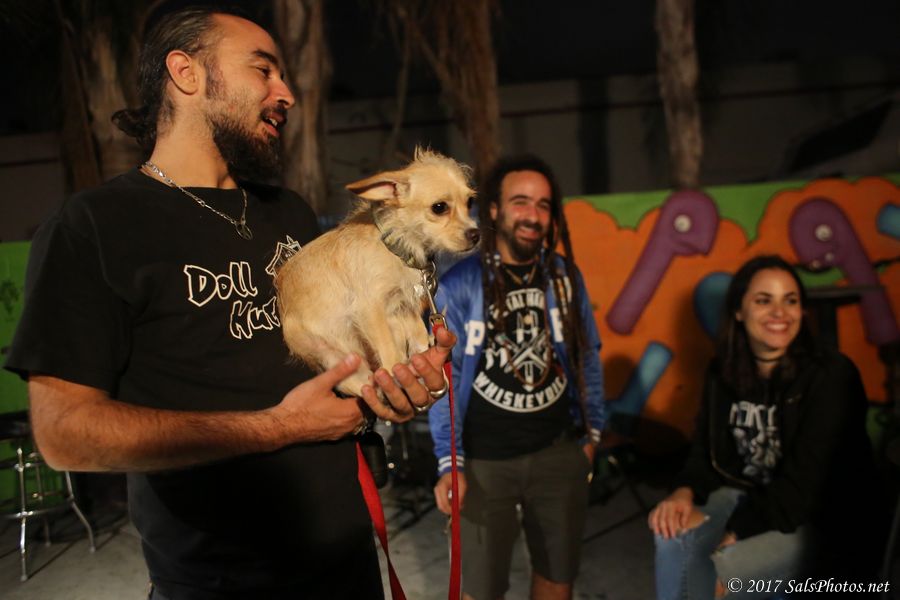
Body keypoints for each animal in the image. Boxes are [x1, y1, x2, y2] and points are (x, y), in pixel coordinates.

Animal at [275, 147, 480, 398]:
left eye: (470, 202)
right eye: (439, 207)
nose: (476, 234)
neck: (396, 247)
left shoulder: (403, 304)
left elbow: (417, 332)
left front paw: (424, 355)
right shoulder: (369, 308)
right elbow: (388, 348)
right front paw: (396, 373)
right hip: (334, 358)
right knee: (357, 383)